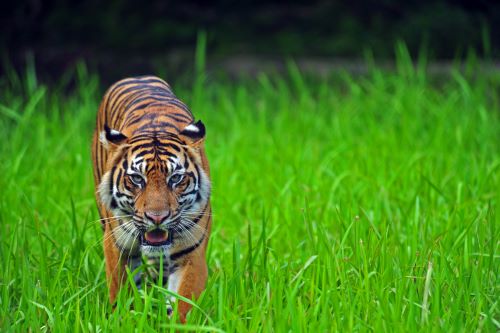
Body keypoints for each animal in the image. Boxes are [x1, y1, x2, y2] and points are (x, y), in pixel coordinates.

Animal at [92, 75, 211, 322]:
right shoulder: (116, 246)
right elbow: (121, 292)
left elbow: (183, 304)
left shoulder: (191, 253)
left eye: (176, 178)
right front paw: (124, 320)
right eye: (137, 179)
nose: (157, 218)